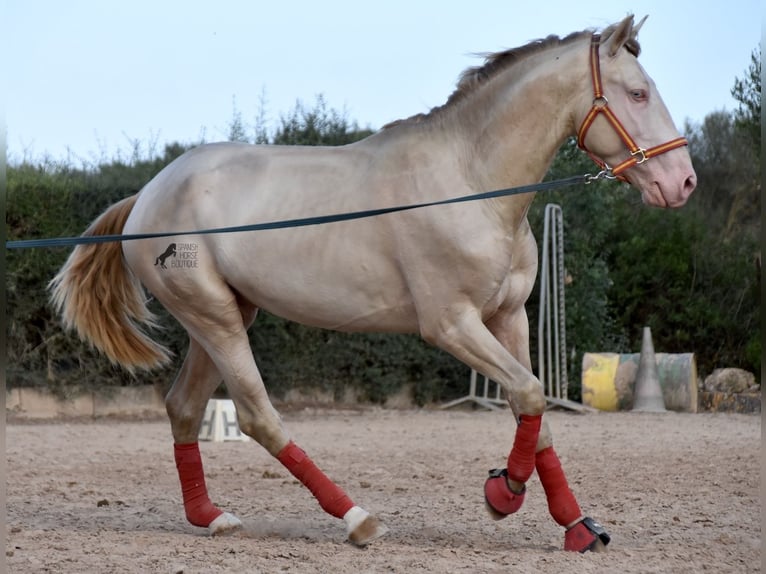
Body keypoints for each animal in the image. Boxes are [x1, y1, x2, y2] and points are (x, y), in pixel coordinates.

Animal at [48, 14, 696, 552]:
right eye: (637, 93)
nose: (683, 182)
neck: (470, 182)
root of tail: (149, 193)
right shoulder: (451, 325)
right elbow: (530, 396)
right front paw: (502, 493)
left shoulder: (509, 317)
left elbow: (532, 412)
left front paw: (578, 527)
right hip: (215, 318)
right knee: (256, 415)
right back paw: (357, 519)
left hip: (224, 316)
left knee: (184, 408)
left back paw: (211, 517)